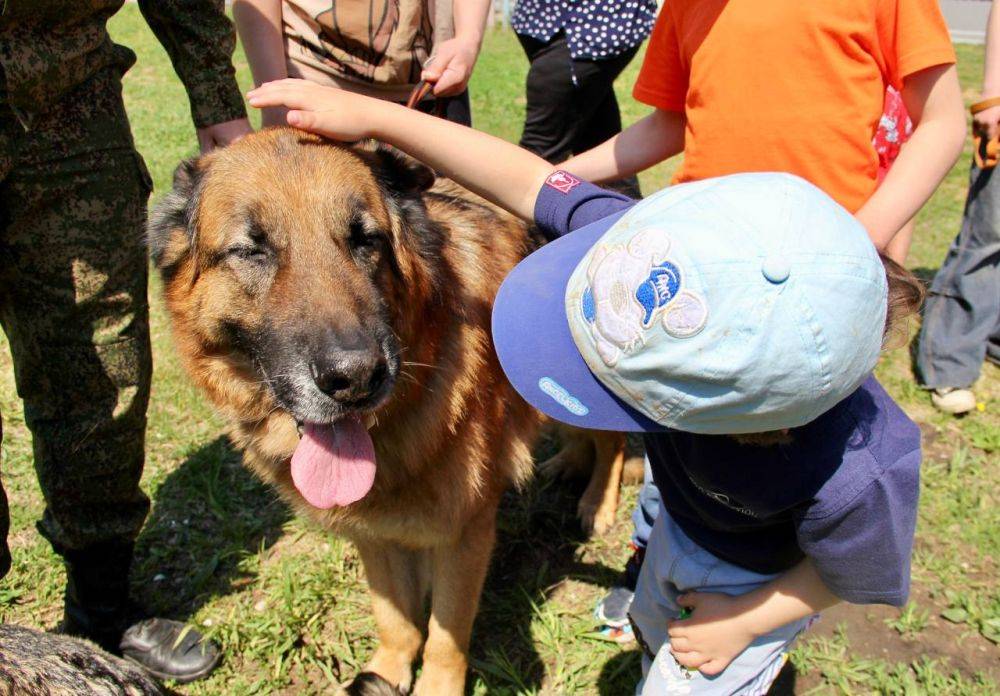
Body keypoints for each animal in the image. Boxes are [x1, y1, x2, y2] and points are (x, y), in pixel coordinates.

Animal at [146, 128, 540, 692]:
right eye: (250, 249)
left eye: (365, 239)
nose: (355, 379)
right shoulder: (372, 530)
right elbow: (395, 617)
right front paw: (388, 670)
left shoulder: (466, 531)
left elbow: (446, 635)